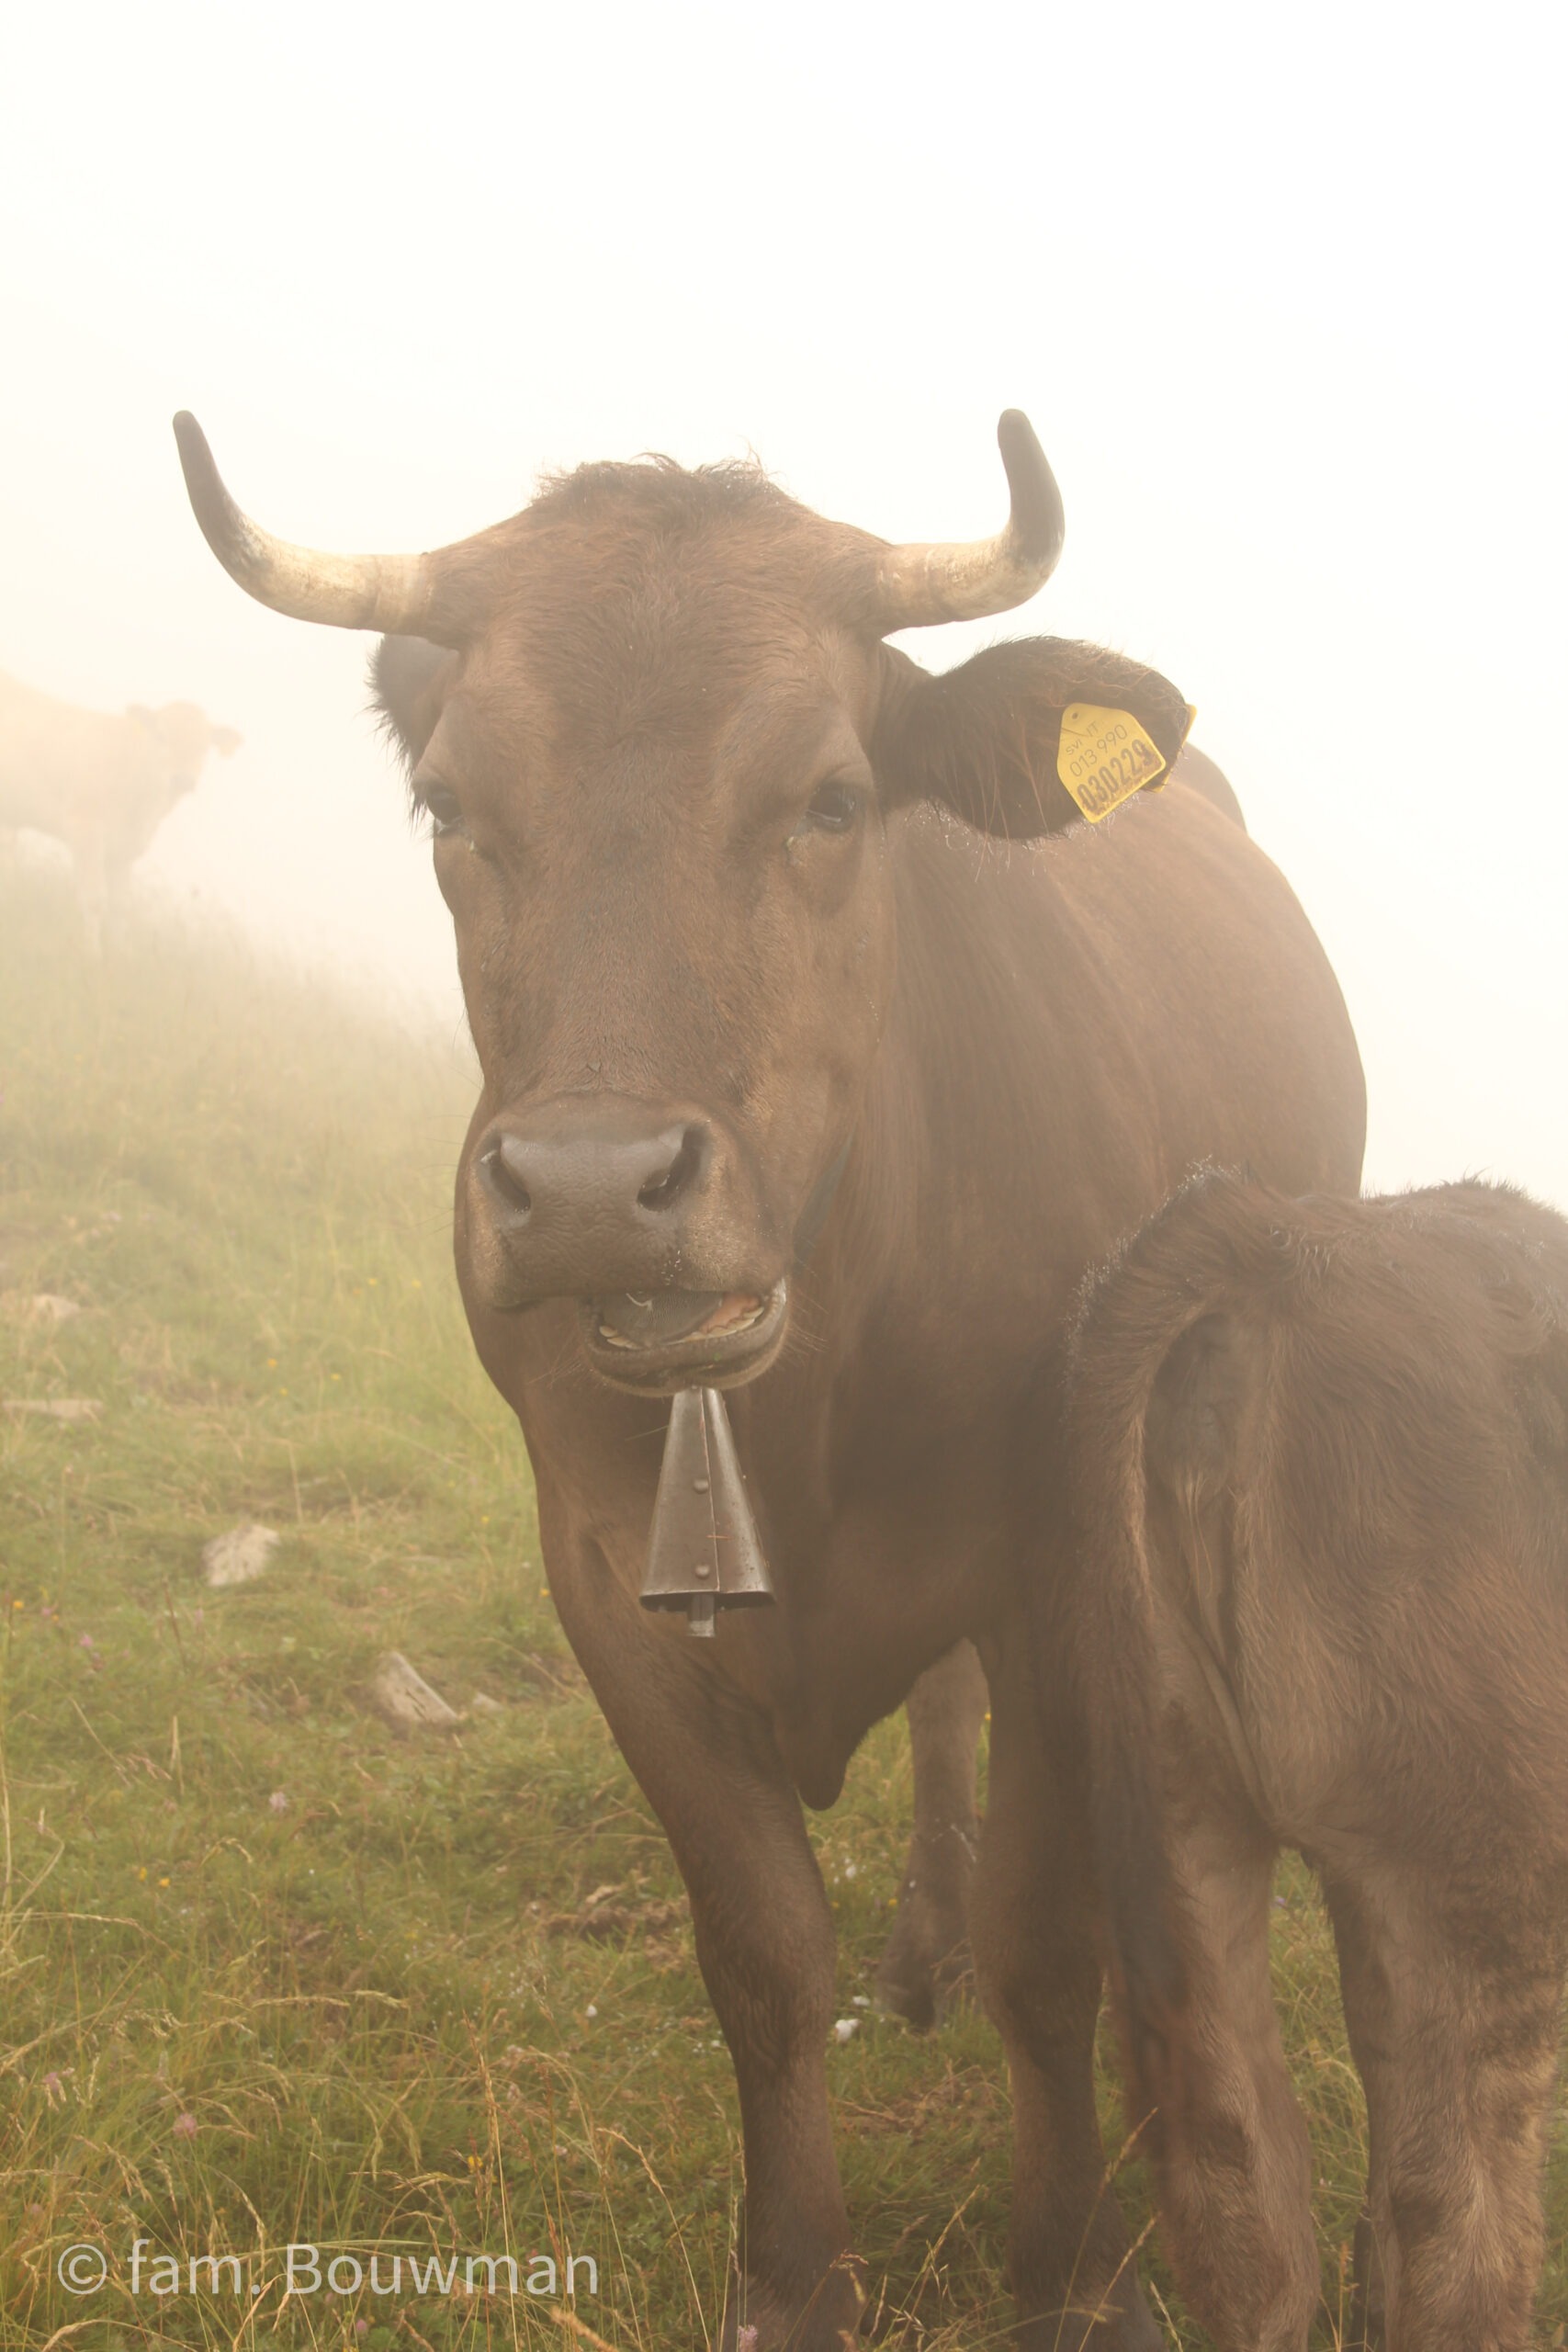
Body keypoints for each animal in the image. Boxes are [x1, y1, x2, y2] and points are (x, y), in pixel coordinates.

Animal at [0, 662, 242, 945]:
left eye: (204, 746)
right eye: (161, 735)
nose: (183, 778)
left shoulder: (125, 849)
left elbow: (120, 909)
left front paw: (119, 953)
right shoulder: (86, 830)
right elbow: (94, 902)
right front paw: (91, 952)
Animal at [177, 413, 1363, 2342]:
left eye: (829, 799)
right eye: (452, 807)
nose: (592, 1187)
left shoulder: (1056, 1563)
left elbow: (1051, 1950)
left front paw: (1072, 2268)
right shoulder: (603, 1591)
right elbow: (759, 1957)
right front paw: (795, 2274)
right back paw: (917, 1948)